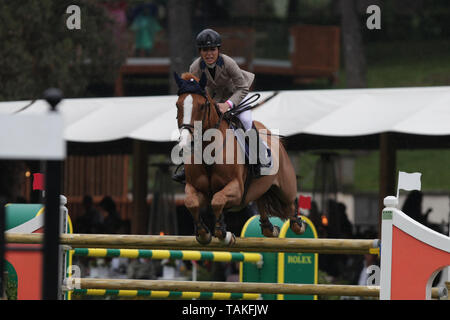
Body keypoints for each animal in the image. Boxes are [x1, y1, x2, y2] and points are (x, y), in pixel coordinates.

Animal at [172, 72, 306, 245]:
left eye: (201, 106)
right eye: (177, 105)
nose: (185, 142)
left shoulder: (236, 189)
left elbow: (217, 201)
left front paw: (224, 234)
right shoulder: (195, 188)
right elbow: (191, 202)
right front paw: (203, 233)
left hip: (285, 188)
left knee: (291, 206)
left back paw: (299, 223)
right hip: (261, 189)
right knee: (262, 204)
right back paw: (270, 228)